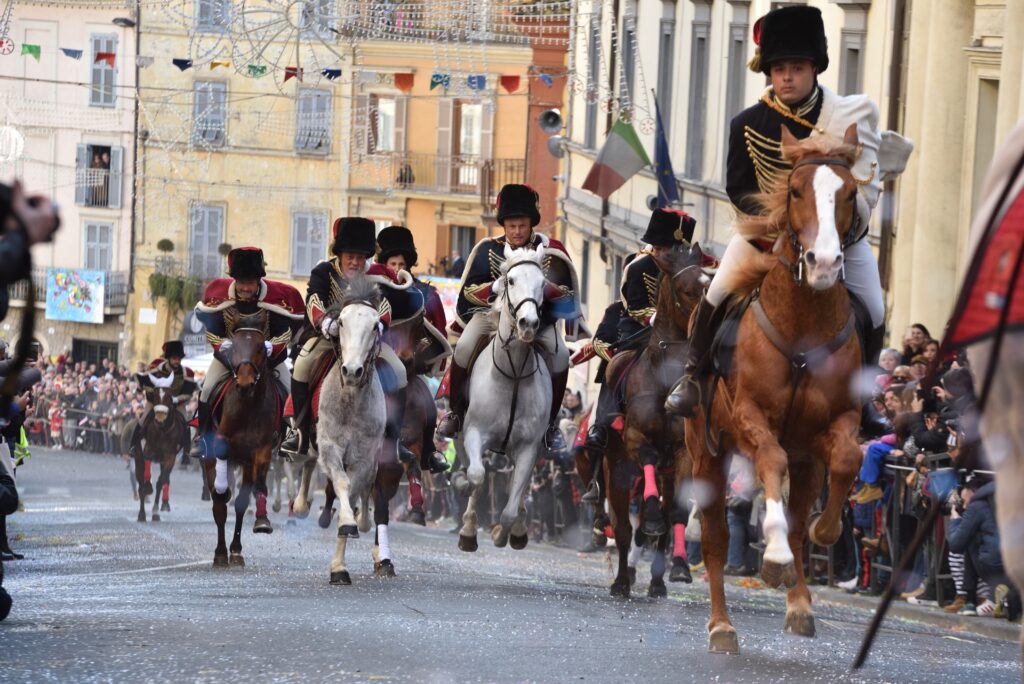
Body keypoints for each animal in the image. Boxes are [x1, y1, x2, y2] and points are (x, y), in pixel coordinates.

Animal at [201, 313, 280, 565]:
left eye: (260, 347)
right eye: (234, 346)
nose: (244, 382)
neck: (247, 406)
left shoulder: (261, 450)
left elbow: (257, 488)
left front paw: (262, 521)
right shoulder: (222, 441)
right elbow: (221, 495)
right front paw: (222, 487)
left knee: (239, 505)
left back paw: (234, 550)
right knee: (219, 507)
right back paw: (220, 552)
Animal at [292, 274, 387, 585]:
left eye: (375, 325)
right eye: (342, 322)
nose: (352, 371)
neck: (351, 402)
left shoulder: (364, 457)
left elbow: (355, 488)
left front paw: (340, 564)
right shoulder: (331, 447)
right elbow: (343, 484)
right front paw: (345, 522)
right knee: (309, 462)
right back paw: (301, 504)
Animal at [458, 244, 552, 548]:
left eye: (543, 283)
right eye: (510, 280)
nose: (528, 323)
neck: (511, 376)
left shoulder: (528, 448)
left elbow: (511, 506)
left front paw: (504, 533)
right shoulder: (474, 432)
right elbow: (477, 476)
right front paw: (468, 528)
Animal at [598, 242, 708, 593]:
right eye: (687, 290)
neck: (664, 381)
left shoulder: (683, 453)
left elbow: (677, 513)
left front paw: (679, 566)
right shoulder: (635, 439)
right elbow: (647, 457)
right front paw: (651, 520)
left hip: (667, 476)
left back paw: (658, 581)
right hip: (616, 470)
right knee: (621, 528)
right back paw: (621, 580)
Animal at [684, 125, 868, 655]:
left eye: (851, 193)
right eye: (795, 191)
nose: (824, 263)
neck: (802, 324)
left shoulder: (839, 422)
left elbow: (847, 460)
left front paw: (826, 530)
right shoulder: (751, 416)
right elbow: (770, 461)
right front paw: (775, 556)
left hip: (807, 461)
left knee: (800, 506)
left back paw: (801, 604)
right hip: (706, 454)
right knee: (715, 539)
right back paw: (722, 625)